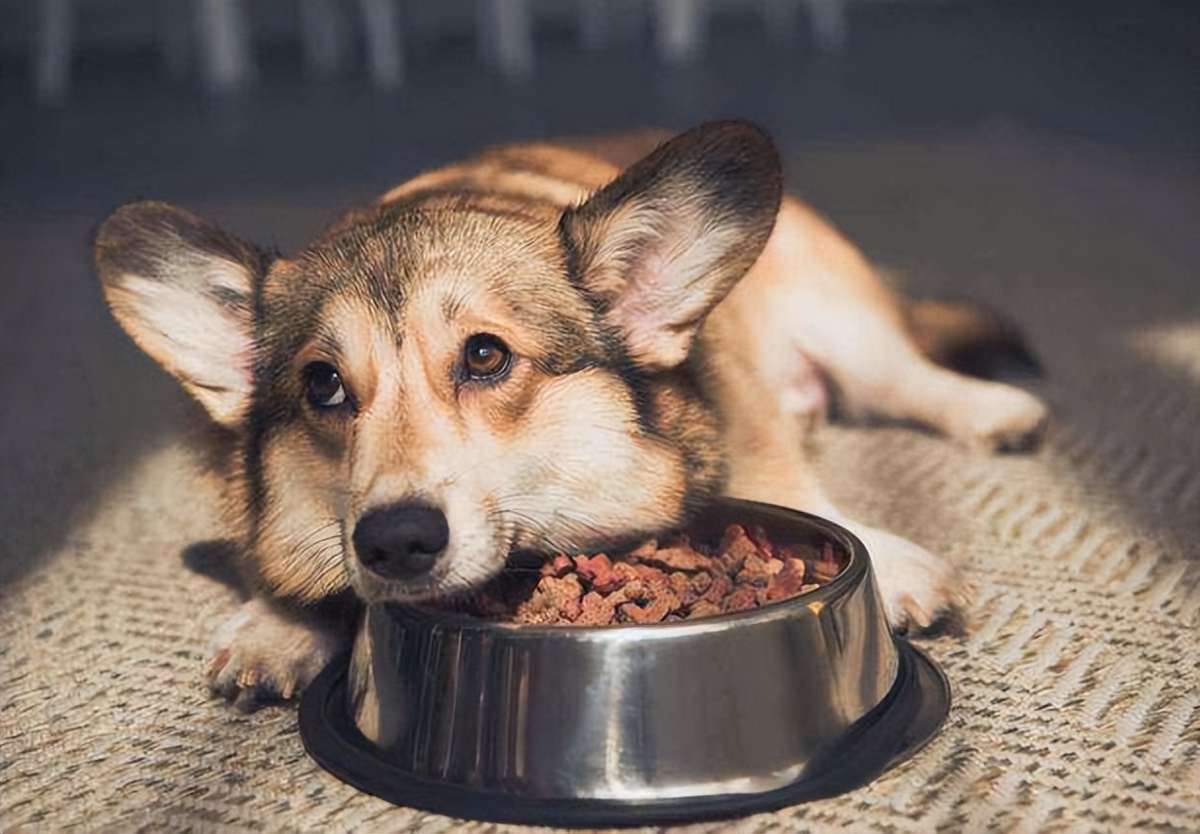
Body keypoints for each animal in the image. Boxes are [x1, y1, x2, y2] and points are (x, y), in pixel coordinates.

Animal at [96, 122, 1051, 710]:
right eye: (325, 386)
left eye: (486, 356)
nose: (396, 542)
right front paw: (278, 627)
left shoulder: (744, 411)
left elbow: (793, 487)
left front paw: (893, 564)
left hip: (840, 319)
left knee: (908, 375)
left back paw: (994, 409)